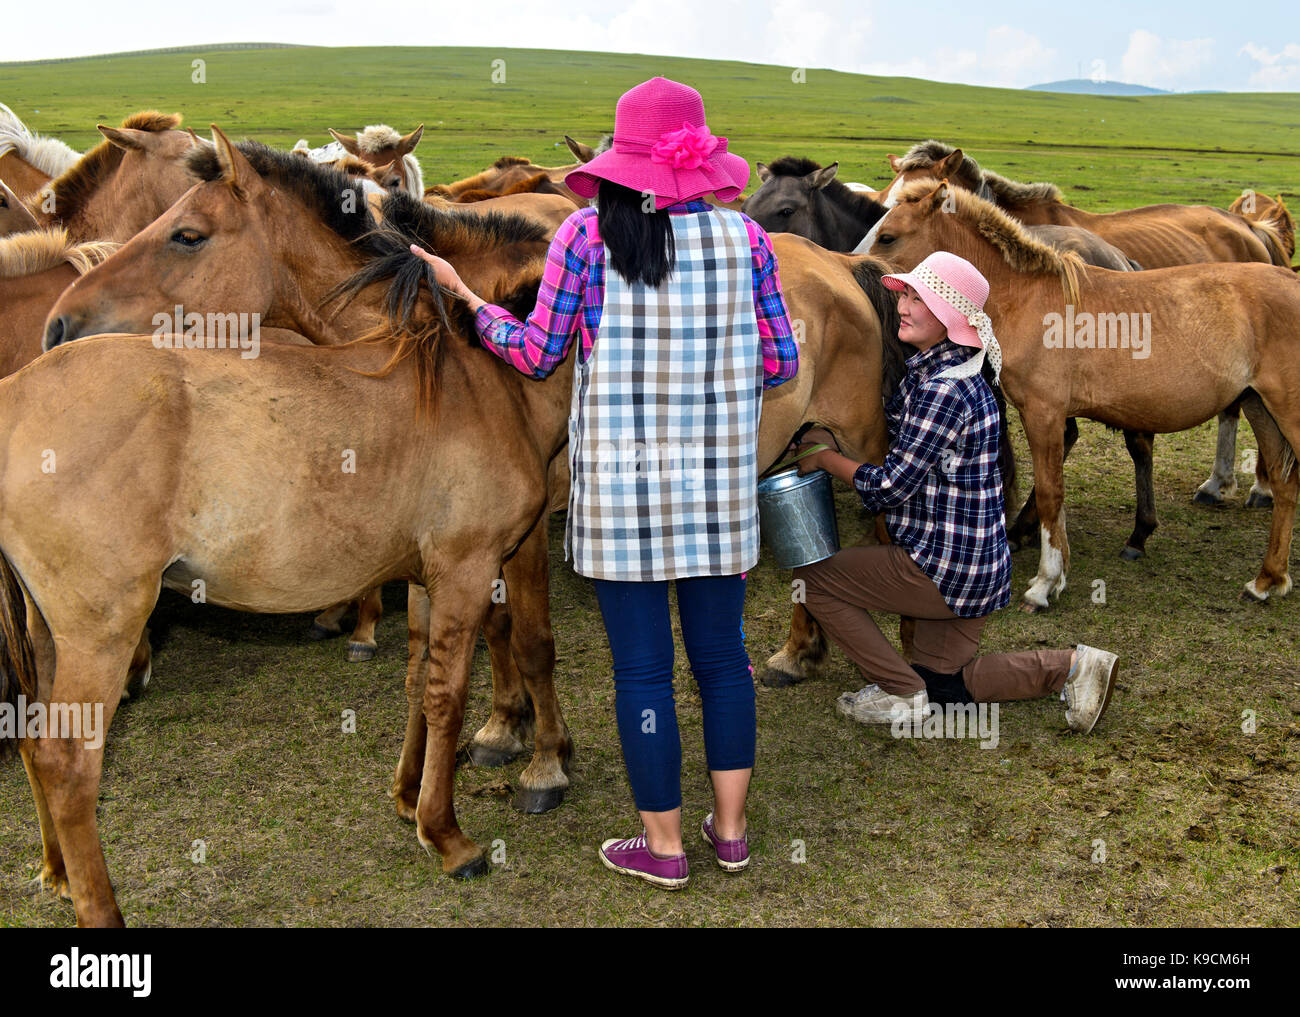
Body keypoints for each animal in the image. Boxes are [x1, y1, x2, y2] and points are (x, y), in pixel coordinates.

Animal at [868, 178, 1300, 608]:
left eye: (888, 236)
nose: (864, 271)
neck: (1024, 298)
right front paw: (1054, 573)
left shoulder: (1043, 413)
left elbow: (1050, 494)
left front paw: (1044, 585)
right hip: (1261, 408)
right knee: (1284, 484)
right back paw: (1266, 580)